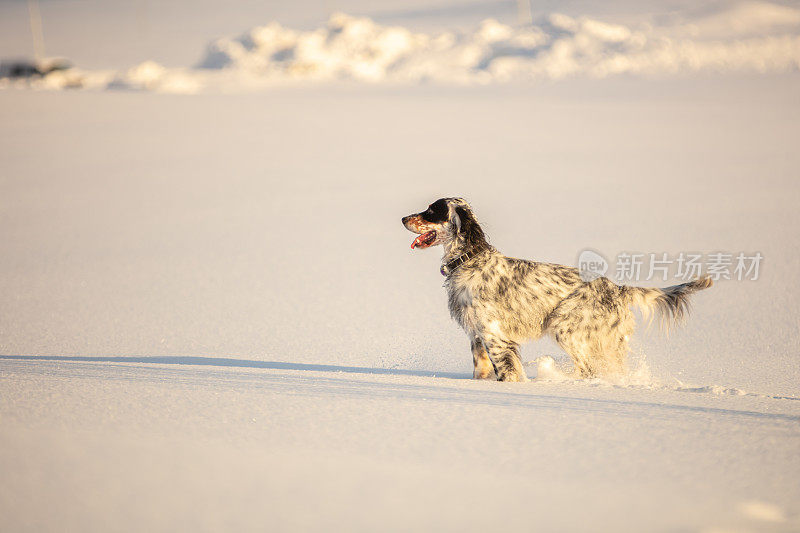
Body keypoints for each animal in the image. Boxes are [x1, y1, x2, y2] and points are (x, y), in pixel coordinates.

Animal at [400, 197, 712, 380]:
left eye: (431, 211)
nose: (403, 218)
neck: (470, 260)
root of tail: (618, 288)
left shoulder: (495, 336)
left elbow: (507, 372)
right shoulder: (477, 335)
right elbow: (482, 369)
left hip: (567, 328)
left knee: (589, 371)